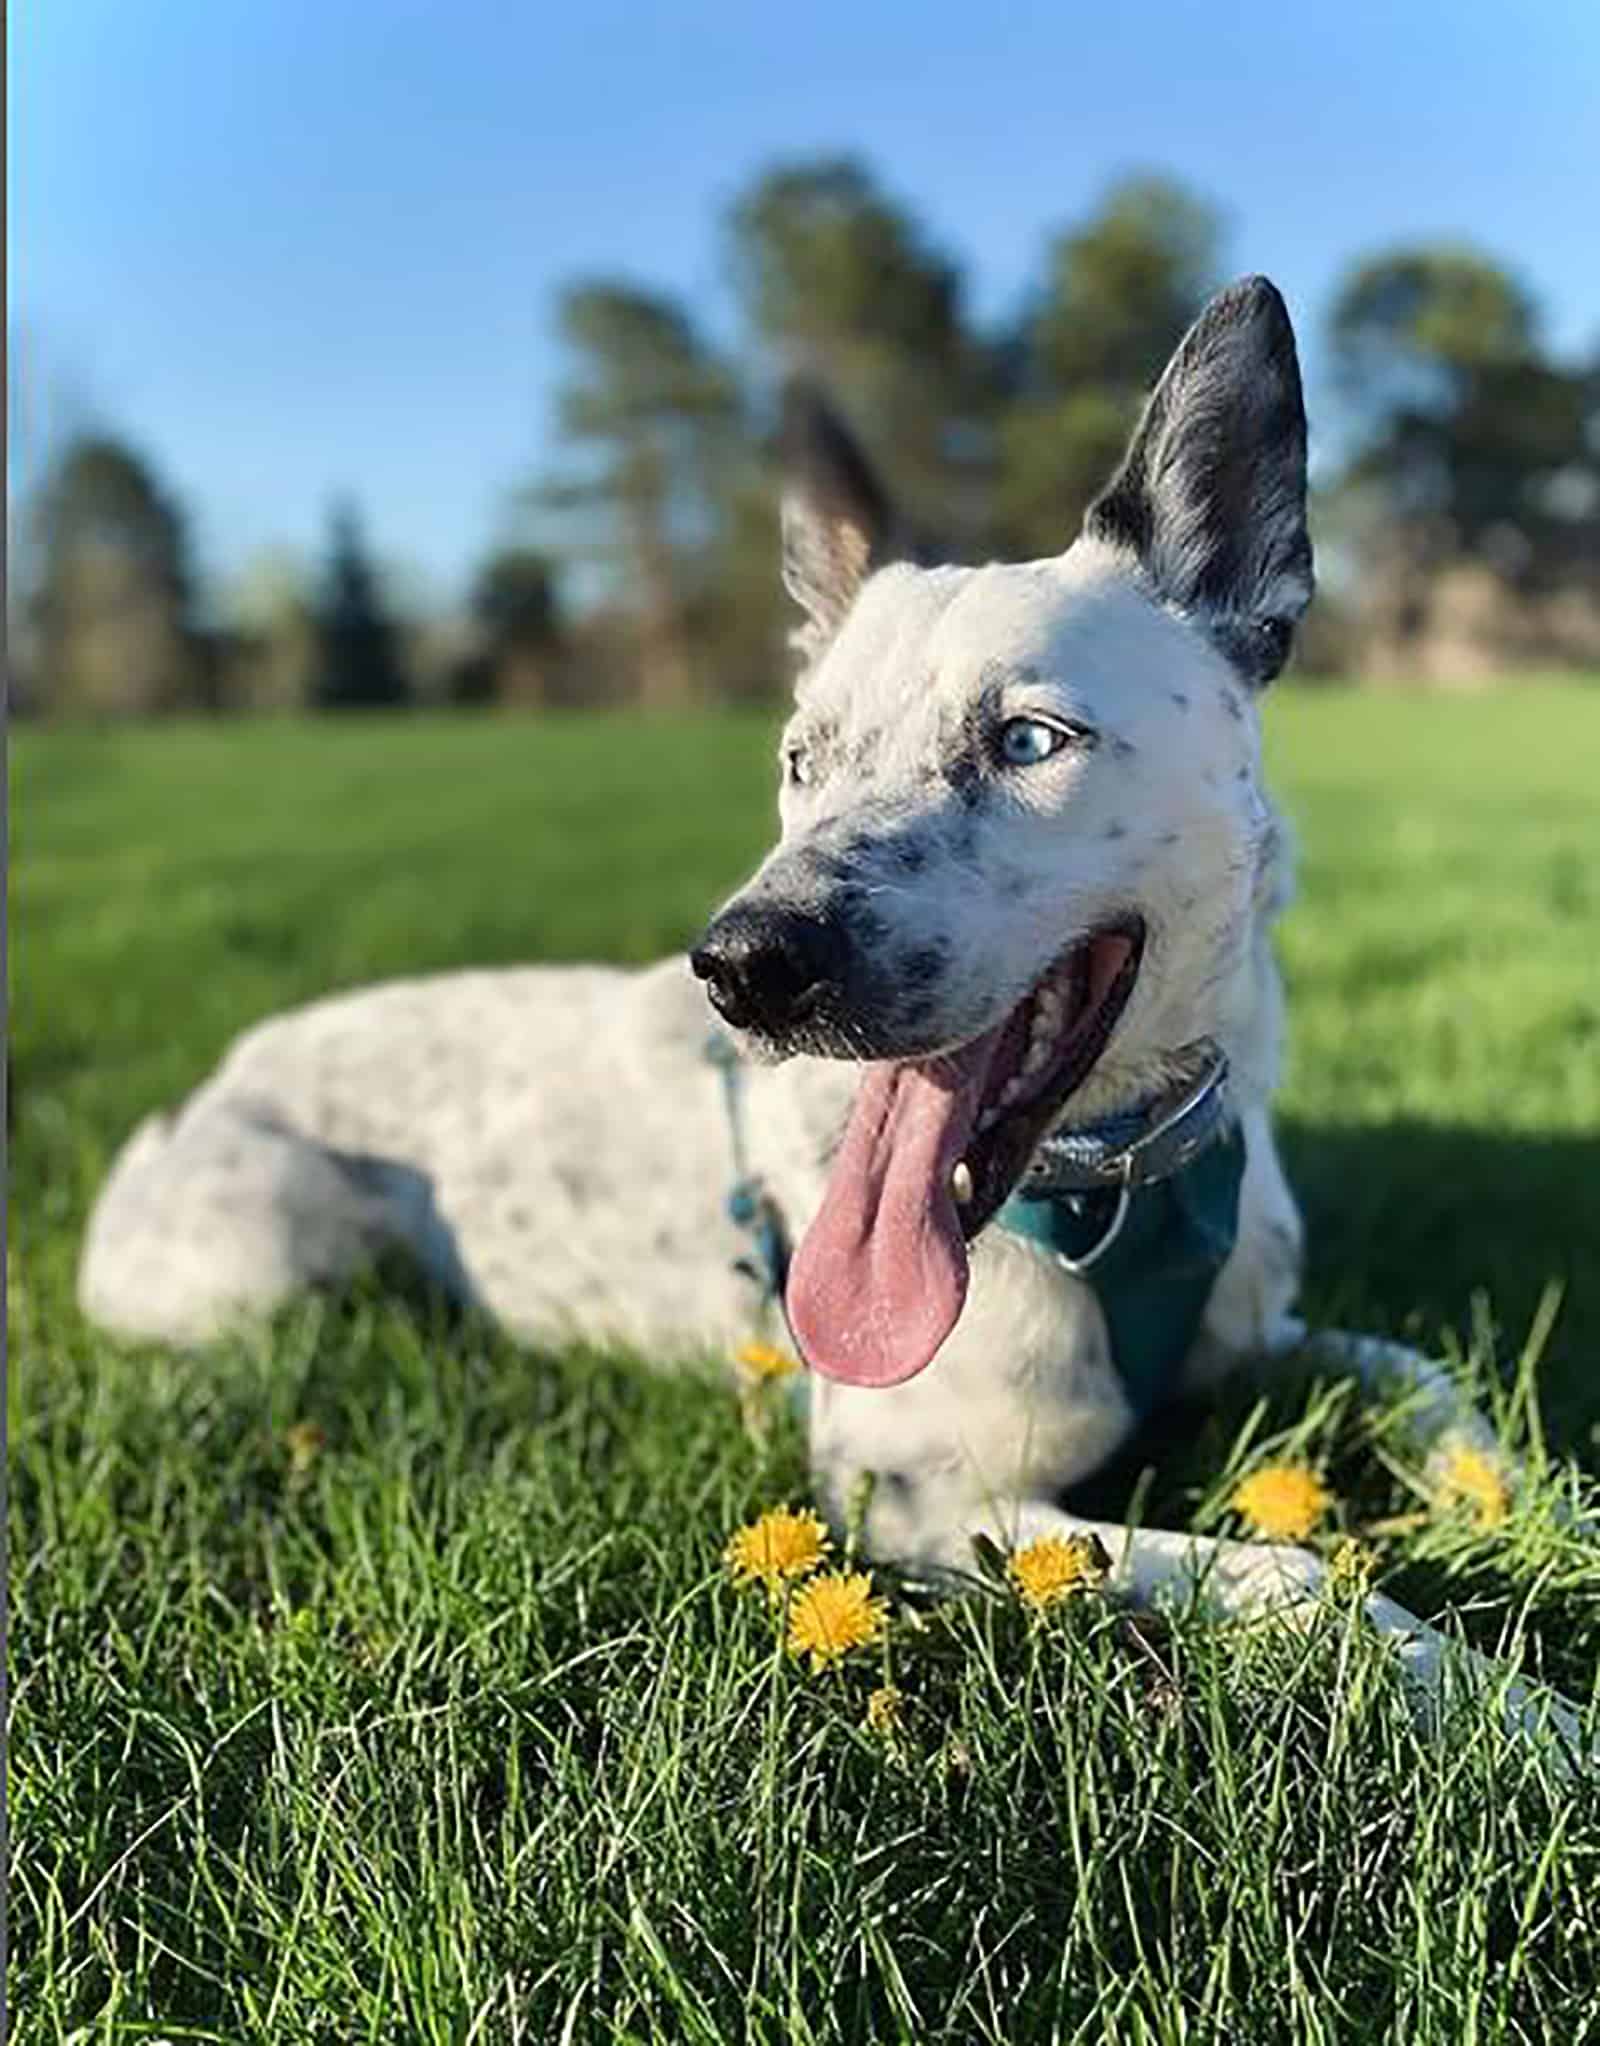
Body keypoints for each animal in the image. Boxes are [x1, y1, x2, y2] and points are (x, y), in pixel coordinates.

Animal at [81, 280, 1587, 1759]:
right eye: (801, 760)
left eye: (1027, 741)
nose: (744, 966)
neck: (1114, 1190)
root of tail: (213, 1077)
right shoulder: (932, 1499)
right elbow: (1296, 1569)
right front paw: (1504, 1705)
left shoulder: (1273, 1332)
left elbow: (1437, 1386)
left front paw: (1538, 1514)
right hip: (272, 1246)